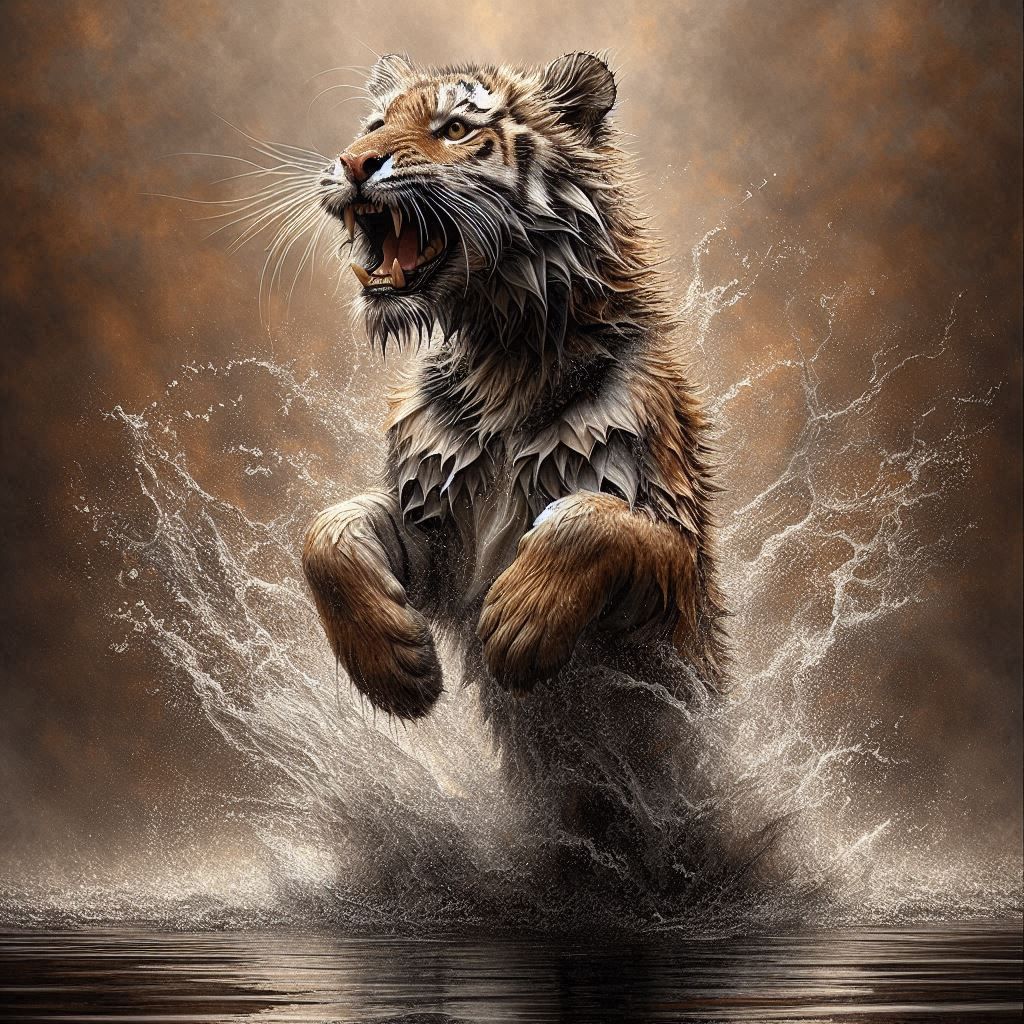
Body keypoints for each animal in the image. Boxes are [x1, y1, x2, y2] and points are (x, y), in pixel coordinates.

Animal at [302, 52, 727, 881]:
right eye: (374, 126)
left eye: (454, 128)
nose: (354, 163)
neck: (502, 357)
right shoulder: (436, 536)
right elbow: (326, 533)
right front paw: (396, 670)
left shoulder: (671, 582)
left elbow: (589, 518)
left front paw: (518, 623)